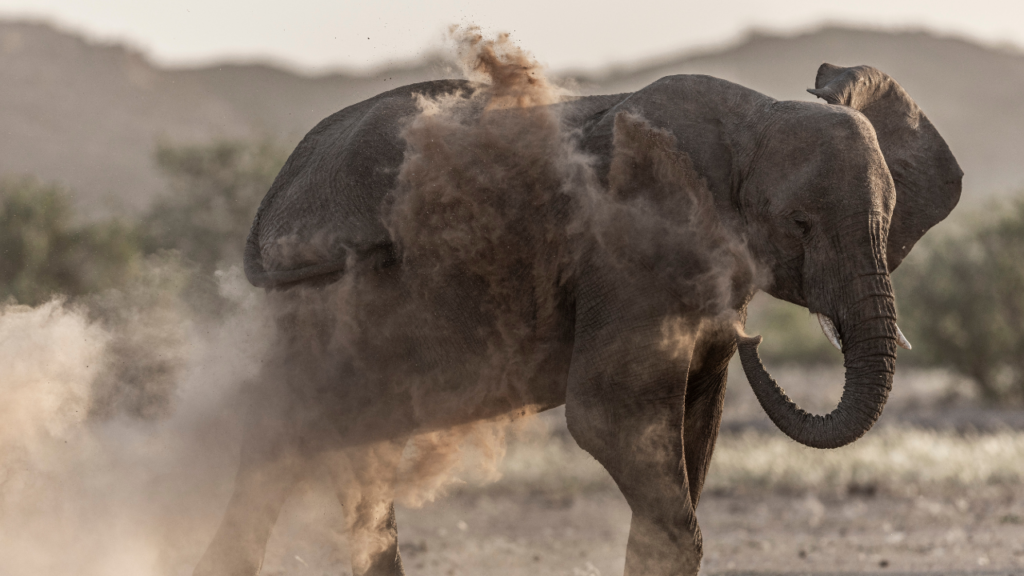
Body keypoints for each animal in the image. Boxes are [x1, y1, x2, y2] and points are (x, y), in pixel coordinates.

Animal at [194, 62, 961, 576]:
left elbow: (694, 424)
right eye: (800, 224)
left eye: (890, 219)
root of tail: (275, 199)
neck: (753, 117)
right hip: (317, 311)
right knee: (282, 443)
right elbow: (608, 417)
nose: (758, 342)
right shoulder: (631, 255)